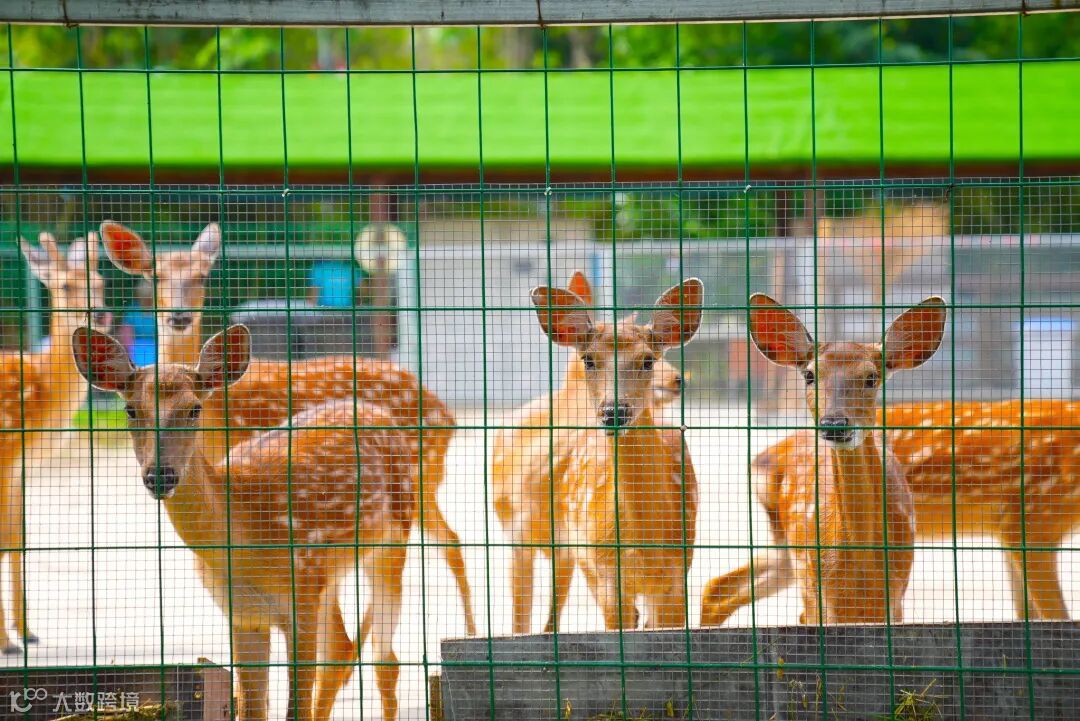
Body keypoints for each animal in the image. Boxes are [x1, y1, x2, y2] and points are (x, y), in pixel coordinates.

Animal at [0, 233, 111, 654]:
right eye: (65, 286)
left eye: (101, 283)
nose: (100, 314)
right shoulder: (5, 455)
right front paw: (6, 642)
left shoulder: (20, 466)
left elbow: (17, 538)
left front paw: (27, 632)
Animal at [73, 324, 412, 721]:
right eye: (130, 409)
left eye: (194, 408)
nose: (160, 475)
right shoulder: (243, 613)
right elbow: (253, 707)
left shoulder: (299, 600)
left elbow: (295, 708)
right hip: (327, 576)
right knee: (341, 649)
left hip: (394, 536)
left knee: (385, 659)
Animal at [97, 222, 475, 661]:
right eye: (155, 276)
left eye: (202, 276)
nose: (178, 315)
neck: (220, 417)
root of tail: (447, 415)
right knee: (446, 542)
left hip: (419, 478)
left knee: (445, 544)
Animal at [701, 294, 946, 626]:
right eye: (809, 375)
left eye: (872, 378)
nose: (834, 423)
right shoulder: (822, 597)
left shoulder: (896, 598)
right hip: (797, 562)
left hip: (784, 552)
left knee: (721, 588)